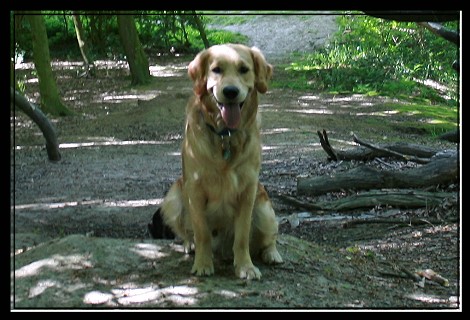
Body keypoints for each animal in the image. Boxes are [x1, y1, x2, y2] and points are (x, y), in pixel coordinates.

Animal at [158, 43, 282, 278]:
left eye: (244, 69)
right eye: (216, 70)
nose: (230, 92)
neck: (226, 135)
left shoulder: (248, 189)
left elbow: (242, 236)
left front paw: (245, 266)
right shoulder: (195, 188)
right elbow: (202, 232)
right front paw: (203, 264)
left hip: (264, 208)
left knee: (268, 238)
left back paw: (272, 254)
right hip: (174, 196)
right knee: (187, 232)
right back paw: (190, 245)